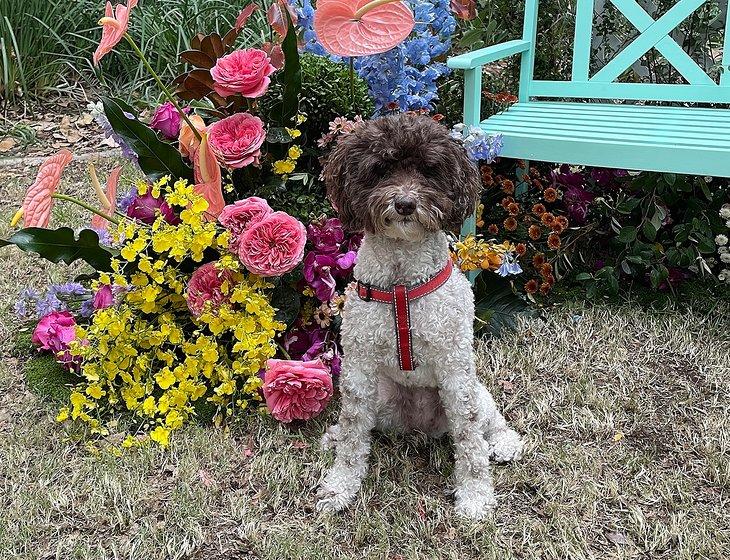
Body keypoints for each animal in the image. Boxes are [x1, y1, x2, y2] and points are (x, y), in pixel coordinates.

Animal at [316, 111, 520, 520]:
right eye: (380, 169)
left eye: (429, 170)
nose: (405, 204)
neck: (401, 283)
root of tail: (418, 423)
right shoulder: (359, 368)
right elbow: (352, 434)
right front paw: (340, 487)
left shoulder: (456, 368)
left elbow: (470, 441)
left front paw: (475, 497)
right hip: (381, 396)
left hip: (475, 391)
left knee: (491, 422)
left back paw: (505, 444)